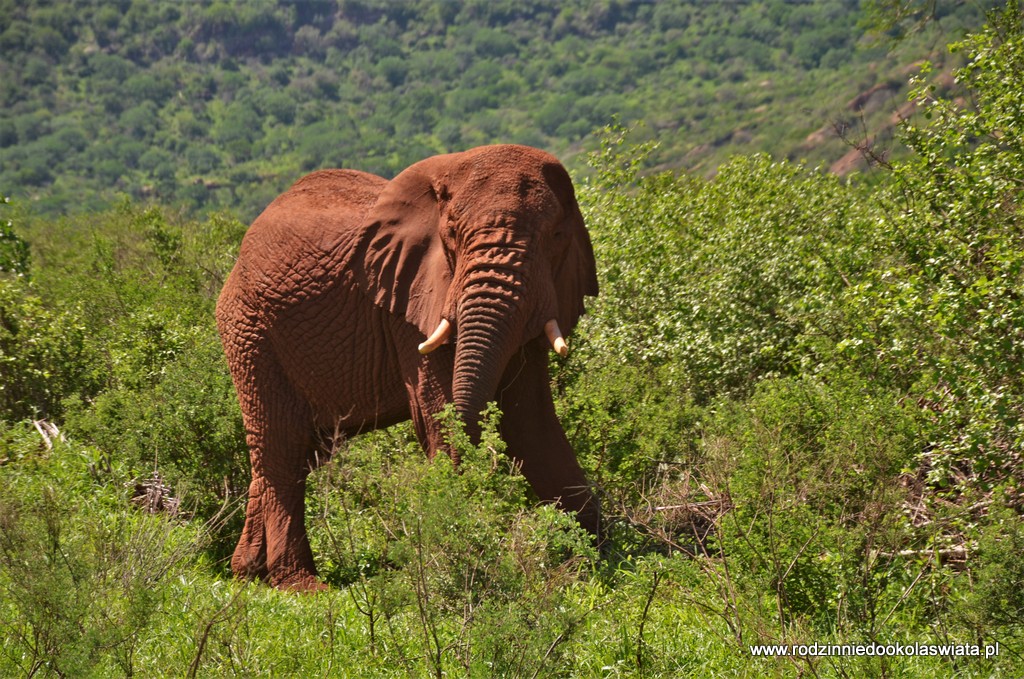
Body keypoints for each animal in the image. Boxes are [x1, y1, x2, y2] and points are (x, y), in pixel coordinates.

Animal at [216, 143, 598, 589]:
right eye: (452, 235)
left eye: (556, 237)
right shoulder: (411, 304)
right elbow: (443, 419)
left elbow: (533, 424)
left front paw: (593, 559)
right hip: (250, 330)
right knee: (282, 446)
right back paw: (301, 586)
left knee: (299, 452)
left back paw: (246, 573)